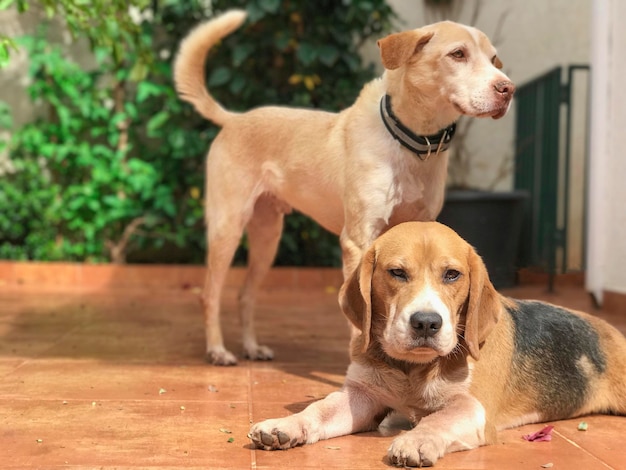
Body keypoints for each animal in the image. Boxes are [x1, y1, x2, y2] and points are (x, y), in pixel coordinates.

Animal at [172, 9, 512, 366]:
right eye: (458, 54)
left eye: (493, 60)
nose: (508, 89)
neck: (411, 144)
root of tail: (234, 119)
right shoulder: (358, 241)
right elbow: (361, 318)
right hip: (228, 228)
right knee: (210, 295)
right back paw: (217, 350)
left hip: (268, 238)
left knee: (245, 294)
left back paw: (252, 347)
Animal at [249, 223, 624, 466]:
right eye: (397, 273)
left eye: (452, 275)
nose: (427, 323)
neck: (411, 369)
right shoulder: (363, 396)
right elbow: (319, 409)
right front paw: (285, 426)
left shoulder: (472, 408)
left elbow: (438, 419)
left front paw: (416, 440)